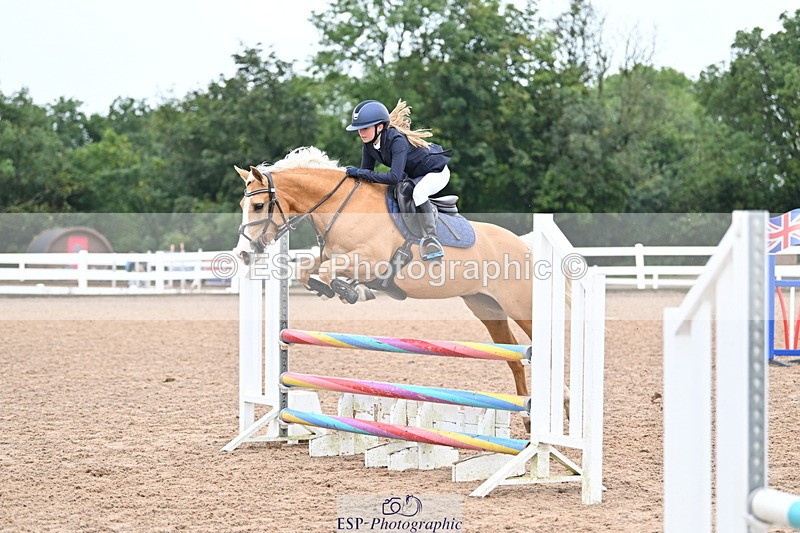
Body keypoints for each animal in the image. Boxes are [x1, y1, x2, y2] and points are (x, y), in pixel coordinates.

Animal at [234, 147, 536, 429]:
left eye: (258, 206)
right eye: (242, 204)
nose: (244, 254)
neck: (342, 206)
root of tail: (522, 243)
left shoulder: (370, 262)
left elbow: (329, 271)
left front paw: (348, 291)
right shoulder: (335, 256)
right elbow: (307, 269)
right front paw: (331, 290)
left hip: (520, 307)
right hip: (486, 308)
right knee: (515, 358)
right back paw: (529, 418)